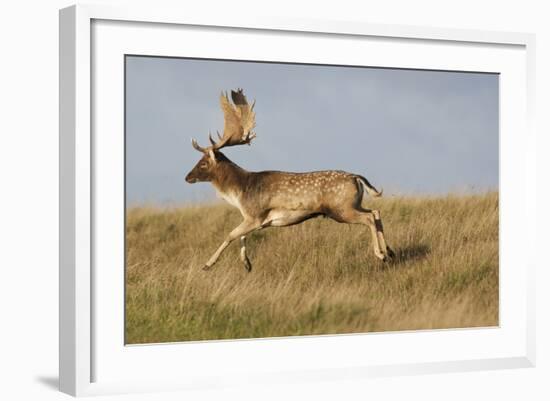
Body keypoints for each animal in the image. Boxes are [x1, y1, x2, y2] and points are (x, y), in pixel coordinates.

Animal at [188, 88, 394, 270]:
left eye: (203, 163)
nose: (187, 177)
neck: (240, 192)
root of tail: (356, 177)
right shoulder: (259, 221)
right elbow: (241, 236)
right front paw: (247, 264)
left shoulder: (255, 215)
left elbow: (230, 235)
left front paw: (208, 264)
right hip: (353, 204)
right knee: (375, 211)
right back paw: (389, 251)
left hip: (341, 209)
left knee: (369, 217)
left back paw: (380, 254)